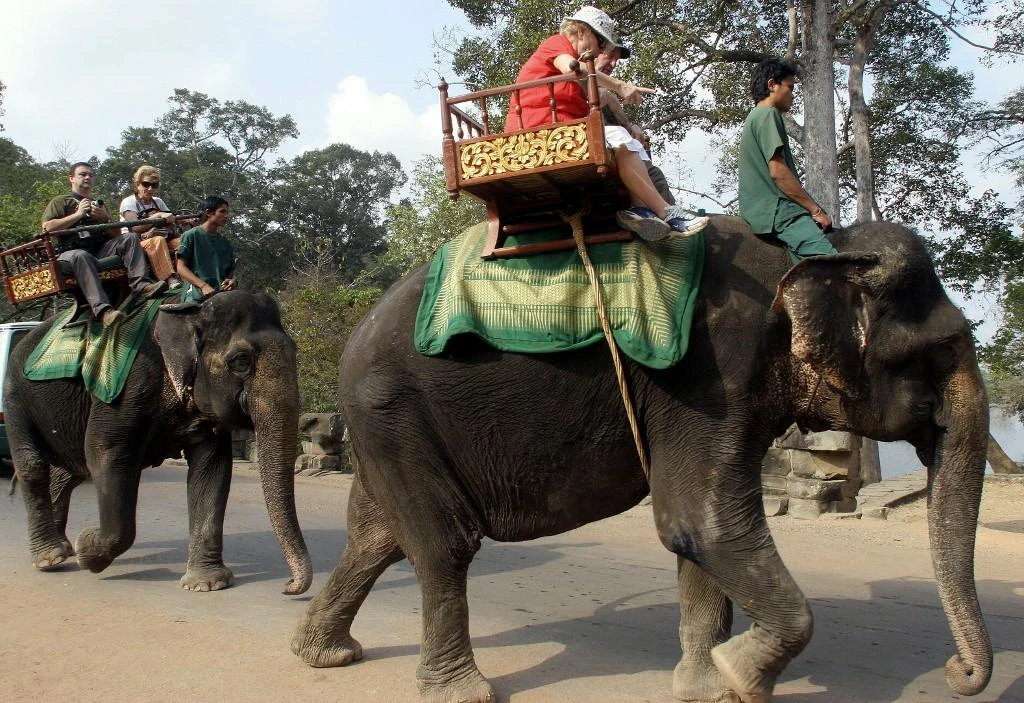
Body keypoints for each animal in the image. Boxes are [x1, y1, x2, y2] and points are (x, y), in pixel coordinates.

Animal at [4, 290, 312, 595]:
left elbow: (212, 467)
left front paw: (207, 584)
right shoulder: (125, 389)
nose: (288, 586)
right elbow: (105, 454)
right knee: (34, 465)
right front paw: (87, 550)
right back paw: (51, 557)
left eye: (295, 351)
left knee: (70, 470)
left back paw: (63, 549)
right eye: (240, 361)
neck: (190, 313)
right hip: (14, 395)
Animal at [290, 217, 991, 703]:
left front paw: (708, 687)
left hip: (389, 424)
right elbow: (700, 521)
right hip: (392, 409)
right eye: (941, 350)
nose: (957, 673)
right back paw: (461, 692)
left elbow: (699, 534)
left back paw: (324, 655)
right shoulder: (712, 374)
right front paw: (740, 675)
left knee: (377, 536)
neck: (822, 244)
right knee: (443, 542)